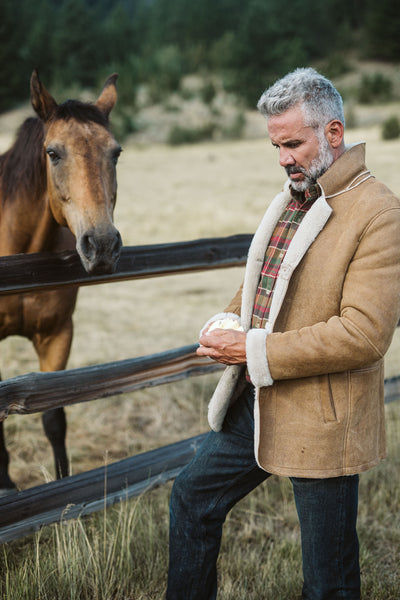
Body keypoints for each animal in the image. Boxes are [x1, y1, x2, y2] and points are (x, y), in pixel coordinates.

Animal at [0, 69, 122, 492]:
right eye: (53, 153)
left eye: (115, 152)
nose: (102, 245)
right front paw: (6, 484)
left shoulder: (57, 334)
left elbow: (53, 414)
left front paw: (62, 485)